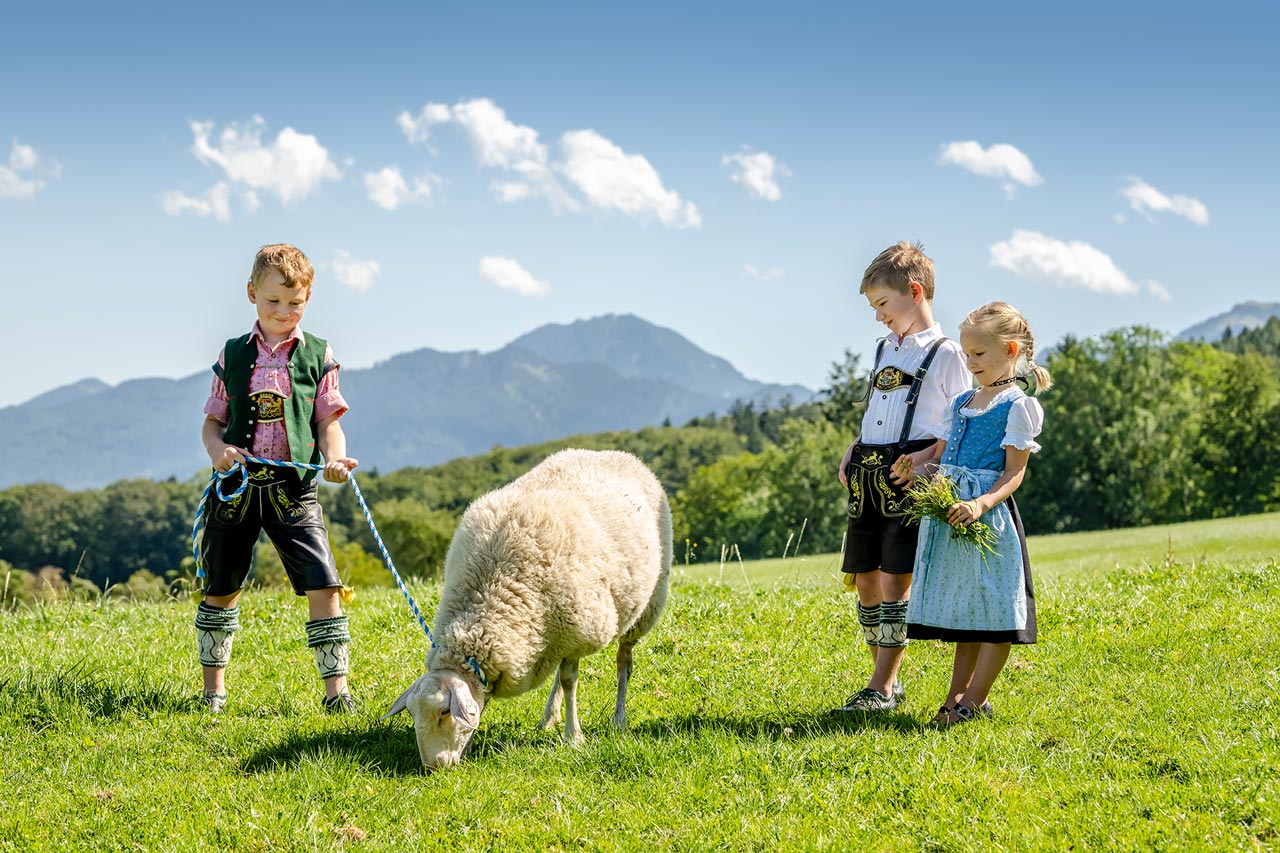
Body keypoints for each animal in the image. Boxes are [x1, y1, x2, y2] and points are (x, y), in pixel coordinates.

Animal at [384, 448, 675, 768]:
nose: (433, 767)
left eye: (445, 711)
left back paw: (618, 719)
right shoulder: (558, 635)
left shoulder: (578, 632)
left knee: (623, 663)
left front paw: (573, 737)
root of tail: (619, 454)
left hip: (645, 607)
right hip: (557, 635)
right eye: (413, 714)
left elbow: (570, 681)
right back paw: (549, 717)